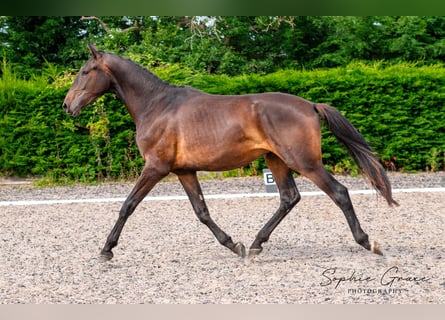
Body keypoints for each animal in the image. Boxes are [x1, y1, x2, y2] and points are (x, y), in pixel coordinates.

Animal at [61, 45, 396, 262]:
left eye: (85, 71)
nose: (67, 105)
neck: (156, 105)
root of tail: (310, 105)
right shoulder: (184, 171)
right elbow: (202, 211)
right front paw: (234, 245)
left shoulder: (155, 167)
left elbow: (127, 205)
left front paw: (106, 250)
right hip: (276, 160)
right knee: (289, 198)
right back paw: (256, 244)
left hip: (305, 162)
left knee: (339, 193)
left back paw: (369, 243)